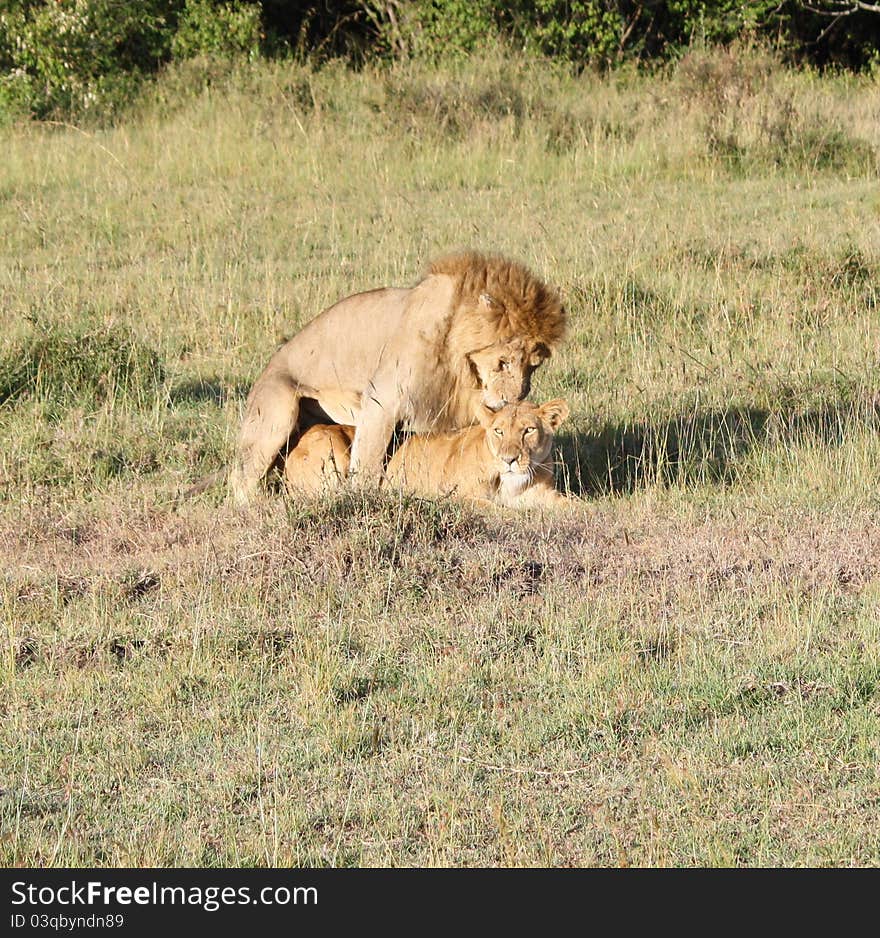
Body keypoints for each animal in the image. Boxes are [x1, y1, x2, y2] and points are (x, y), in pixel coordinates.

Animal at [230, 247, 568, 498]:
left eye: (533, 366)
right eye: (503, 362)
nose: (514, 399)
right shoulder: (382, 401)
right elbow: (367, 463)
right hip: (279, 410)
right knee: (240, 481)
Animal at [282, 398, 572, 508]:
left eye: (529, 430)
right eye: (499, 431)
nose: (509, 459)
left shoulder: (547, 494)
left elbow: (575, 506)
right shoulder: (459, 497)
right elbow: (504, 510)